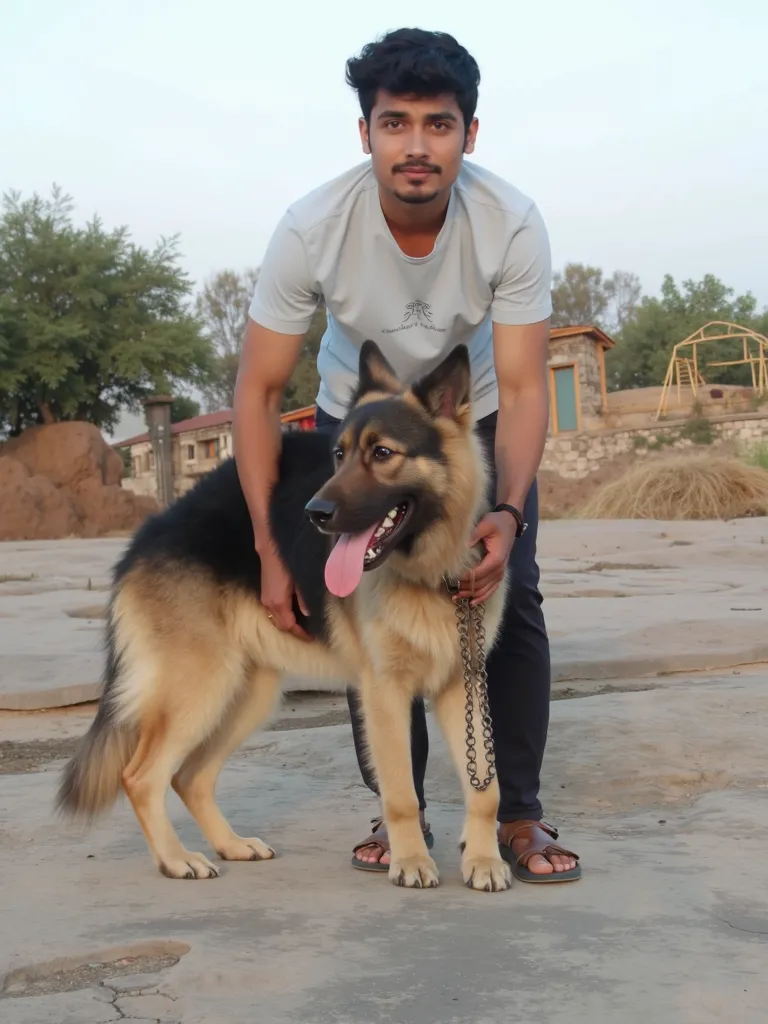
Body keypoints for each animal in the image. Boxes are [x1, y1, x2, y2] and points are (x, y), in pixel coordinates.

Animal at [57, 339, 514, 892]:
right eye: (338, 455)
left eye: (382, 454)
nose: (315, 514)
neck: (430, 570)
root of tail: (146, 536)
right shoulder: (384, 693)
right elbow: (401, 793)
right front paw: (410, 861)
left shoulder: (463, 683)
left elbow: (486, 787)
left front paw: (484, 860)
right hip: (201, 687)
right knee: (141, 775)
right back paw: (176, 859)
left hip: (246, 692)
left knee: (189, 776)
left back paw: (231, 845)